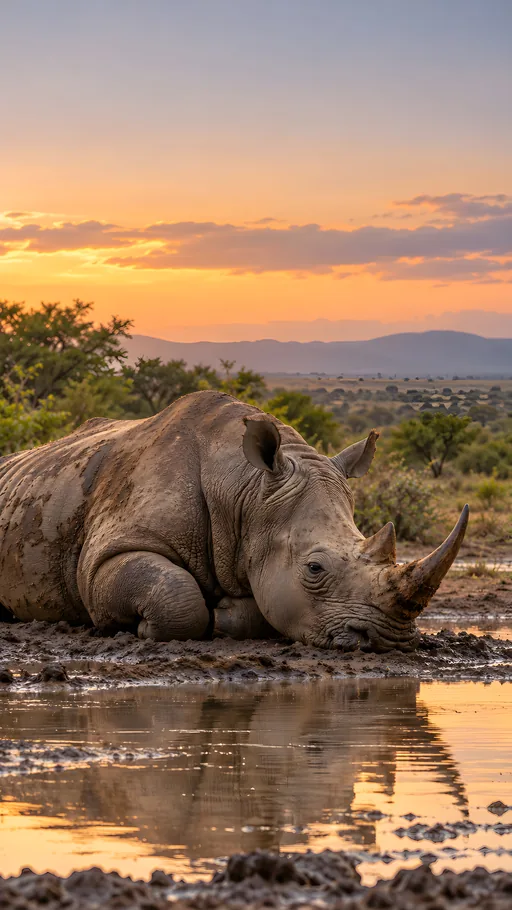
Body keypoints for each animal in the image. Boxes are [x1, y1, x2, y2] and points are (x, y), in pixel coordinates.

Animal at [0, 390, 468, 651]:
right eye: (315, 568)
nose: (391, 639)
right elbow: (176, 597)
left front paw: (224, 616)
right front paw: (142, 627)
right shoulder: (108, 551)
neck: (245, 491)